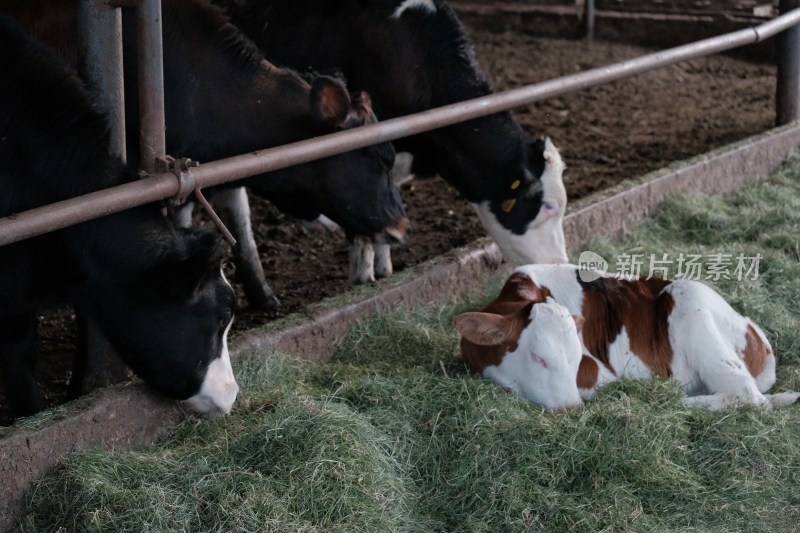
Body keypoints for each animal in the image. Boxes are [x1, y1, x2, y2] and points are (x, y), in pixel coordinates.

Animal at [454, 264, 800, 410]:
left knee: (747, 395)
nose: (570, 408)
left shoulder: (598, 371)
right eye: (539, 358)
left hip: (690, 297)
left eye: (575, 359)